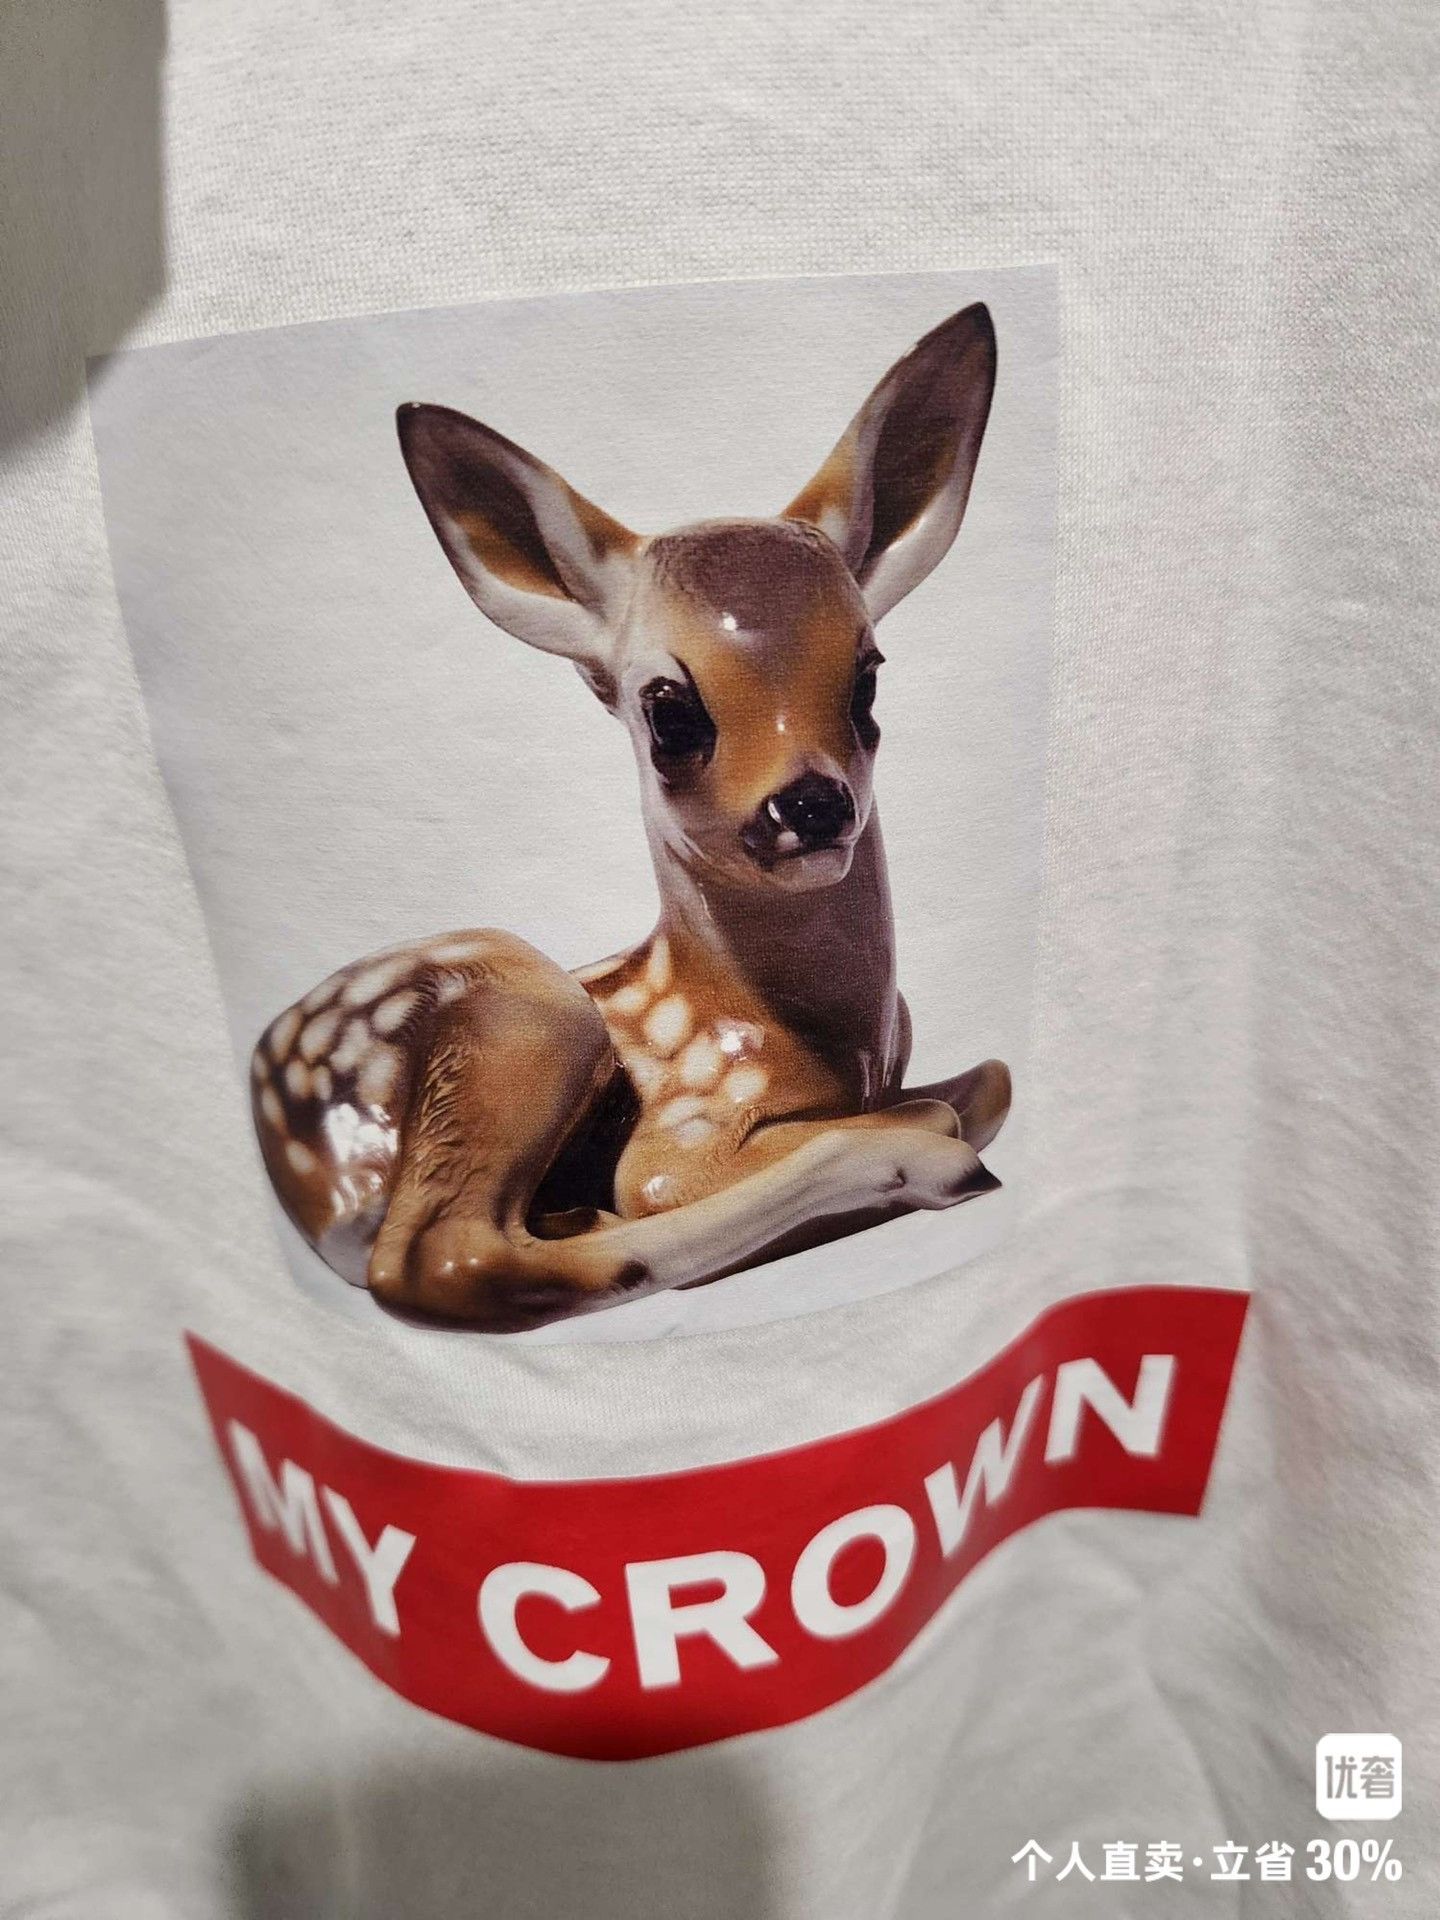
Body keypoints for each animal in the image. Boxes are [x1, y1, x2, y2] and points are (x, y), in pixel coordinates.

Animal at [250, 302, 1011, 1333]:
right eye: (670, 709)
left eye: (868, 675)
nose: (813, 803)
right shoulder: (681, 1136)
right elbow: (675, 1180)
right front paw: (917, 1147)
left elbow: (990, 1077)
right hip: (526, 1006)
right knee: (442, 1261)